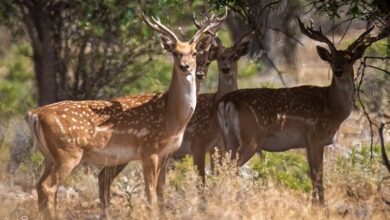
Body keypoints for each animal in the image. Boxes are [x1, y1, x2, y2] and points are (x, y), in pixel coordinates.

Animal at [26, 9, 225, 219]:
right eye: (176, 53)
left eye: (194, 53)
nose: (185, 66)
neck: (172, 116)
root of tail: (34, 114)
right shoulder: (149, 149)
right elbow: (150, 193)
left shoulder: (166, 154)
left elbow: (161, 191)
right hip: (67, 152)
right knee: (48, 187)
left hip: (50, 156)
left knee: (41, 186)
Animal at [216, 18, 386, 204]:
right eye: (332, 59)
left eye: (350, 59)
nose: (338, 71)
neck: (332, 107)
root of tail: (225, 102)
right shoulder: (316, 137)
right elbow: (318, 176)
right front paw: (322, 205)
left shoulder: (307, 143)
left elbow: (312, 176)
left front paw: (314, 204)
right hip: (251, 138)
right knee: (229, 168)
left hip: (228, 139)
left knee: (220, 167)